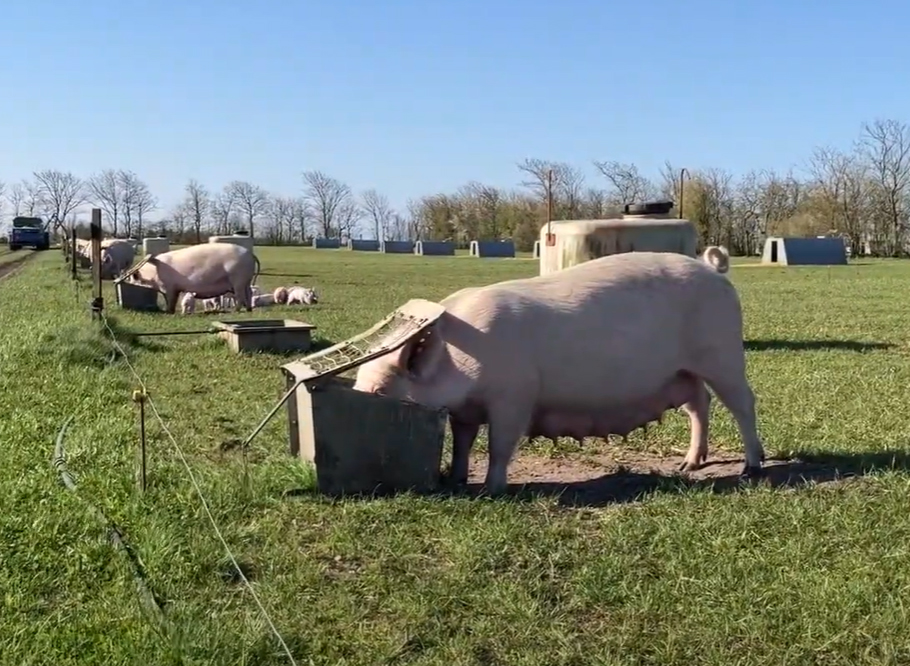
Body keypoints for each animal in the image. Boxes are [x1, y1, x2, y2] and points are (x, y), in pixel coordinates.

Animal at [125, 243, 260, 312]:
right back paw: (248, 309)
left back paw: (237, 310)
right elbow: (171, 301)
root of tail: (250, 253)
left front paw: (169, 312)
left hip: (238, 279)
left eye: (132, 280)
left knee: (240, 295)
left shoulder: (170, 287)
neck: (153, 274)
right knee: (248, 293)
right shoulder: (173, 289)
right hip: (246, 280)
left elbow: (171, 300)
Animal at [352, 248, 764, 492]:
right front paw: (455, 480)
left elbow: (501, 444)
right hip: (682, 372)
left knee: (743, 403)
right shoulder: (464, 411)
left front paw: (491, 490)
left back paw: (751, 468)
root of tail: (713, 269)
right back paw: (689, 465)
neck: (457, 362)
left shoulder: (515, 395)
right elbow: (462, 442)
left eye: (380, 390)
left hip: (723, 354)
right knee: (699, 403)